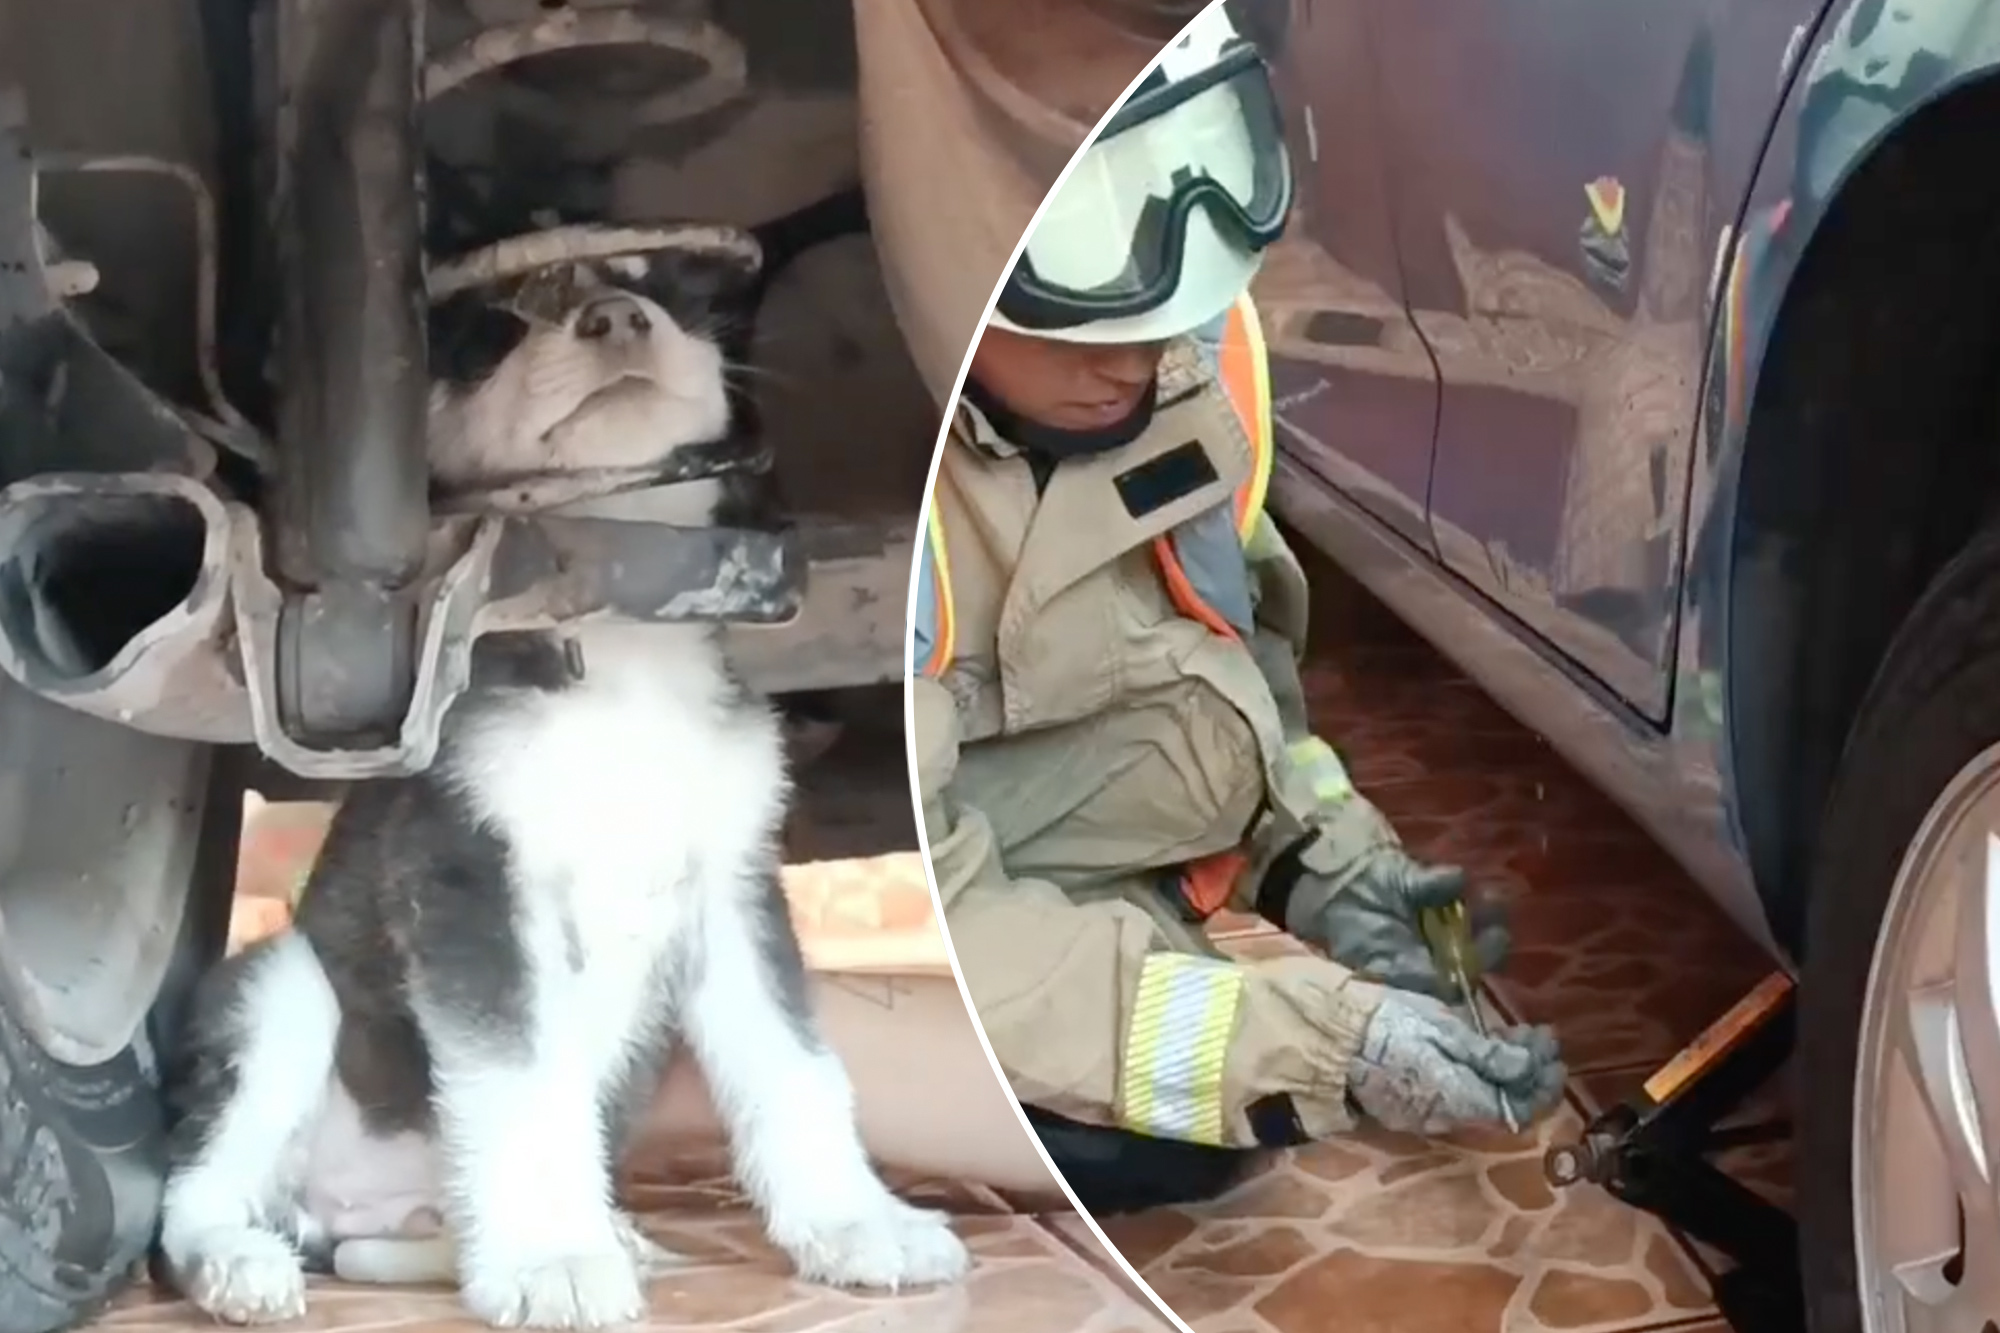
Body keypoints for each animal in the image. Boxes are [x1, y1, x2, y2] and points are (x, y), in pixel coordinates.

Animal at [156, 246, 968, 1320]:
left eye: (672, 290)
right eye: (491, 328)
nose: (617, 318)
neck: (619, 648)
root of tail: (351, 1213)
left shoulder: (734, 891)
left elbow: (793, 1066)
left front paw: (854, 1222)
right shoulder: (473, 880)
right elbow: (522, 1077)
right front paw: (550, 1257)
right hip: (284, 992)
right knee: (196, 1191)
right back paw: (235, 1262)